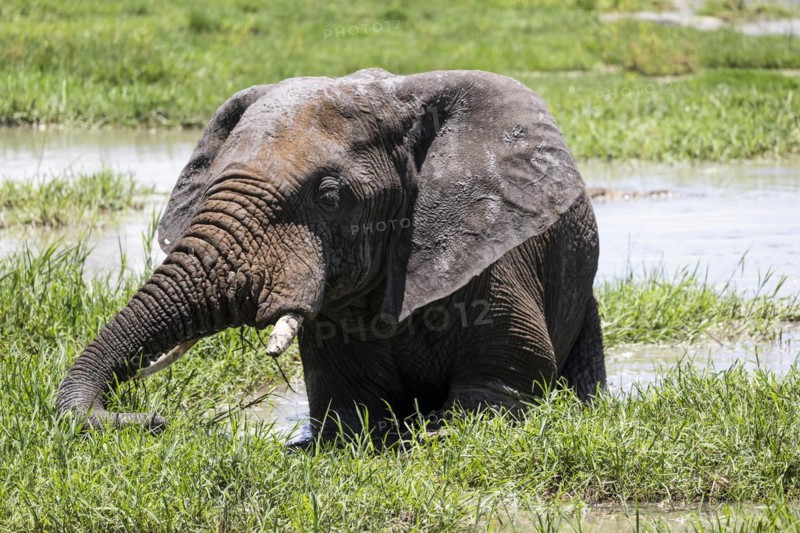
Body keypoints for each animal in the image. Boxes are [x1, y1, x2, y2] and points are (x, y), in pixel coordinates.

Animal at [57, 68, 605, 442]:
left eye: (329, 197)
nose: (156, 419)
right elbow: (350, 411)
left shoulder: (491, 257)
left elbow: (503, 380)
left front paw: (438, 429)